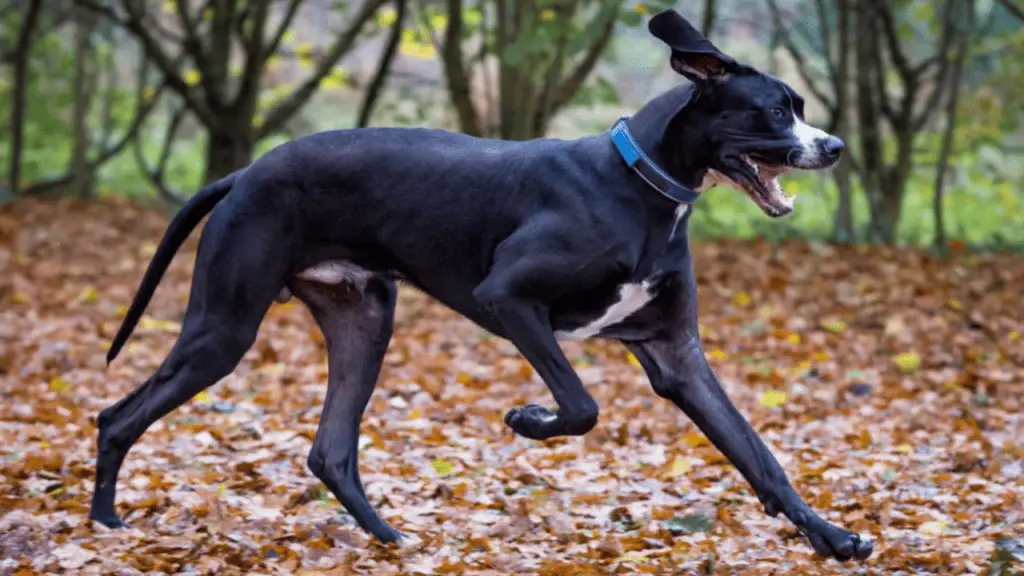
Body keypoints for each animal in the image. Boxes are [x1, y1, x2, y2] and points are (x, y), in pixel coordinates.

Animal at [90, 10, 872, 561]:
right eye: (775, 110)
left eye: (800, 107)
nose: (833, 147)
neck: (641, 185)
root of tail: (245, 172)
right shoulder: (509, 299)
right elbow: (581, 405)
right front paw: (528, 420)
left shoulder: (677, 354)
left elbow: (760, 458)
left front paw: (833, 537)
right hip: (224, 327)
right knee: (118, 415)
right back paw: (104, 522)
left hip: (364, 321)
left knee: (330, 451)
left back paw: (390, 540)